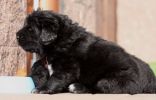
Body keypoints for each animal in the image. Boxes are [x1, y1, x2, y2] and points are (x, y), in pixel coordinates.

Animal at [16, 10, 156, 94]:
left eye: (30, 29)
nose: (16, 35)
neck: (60, 41)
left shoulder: (68, 66)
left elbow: (56, 77)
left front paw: (42, 89)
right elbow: (38, 65)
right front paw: (38, 76)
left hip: (112, 80)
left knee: (99, 88)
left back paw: (77, 87)